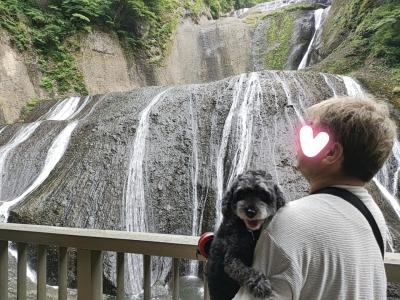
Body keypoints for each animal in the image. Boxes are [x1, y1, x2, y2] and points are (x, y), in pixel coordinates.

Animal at [206, 170, 284, 298]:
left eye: (262, 195)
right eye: (241, 194)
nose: (250, 212)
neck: (250, 232)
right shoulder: (232, 258)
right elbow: (244, 271)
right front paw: (259, 283)